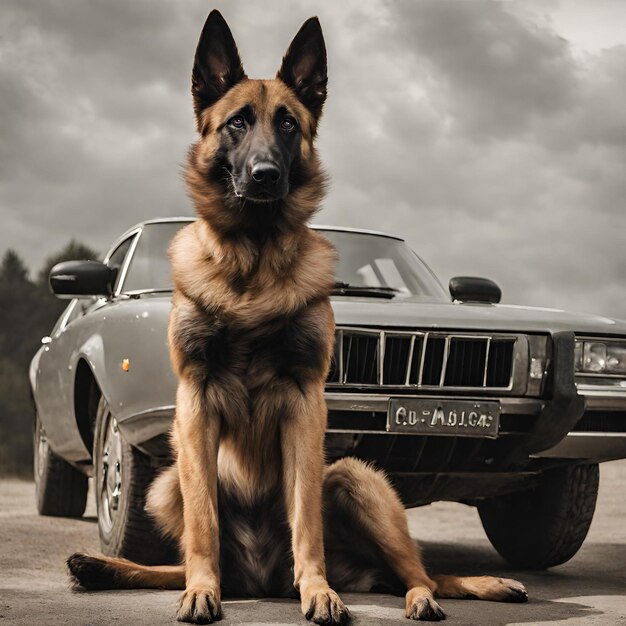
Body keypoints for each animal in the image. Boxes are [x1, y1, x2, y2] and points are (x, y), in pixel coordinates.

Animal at [67, 8, 528, 620]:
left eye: (288, 124)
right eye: (237, 123)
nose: (265, 174)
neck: (254, 262)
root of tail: (261, 579)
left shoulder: (306, 406)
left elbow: (305, 517)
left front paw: (318, 590)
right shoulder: (193, 405)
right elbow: (204, 524)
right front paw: (201, 590)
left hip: (356, 480)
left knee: (421, 572)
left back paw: (429, 594)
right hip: (166, 484)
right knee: (184, 552)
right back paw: (119, 569)